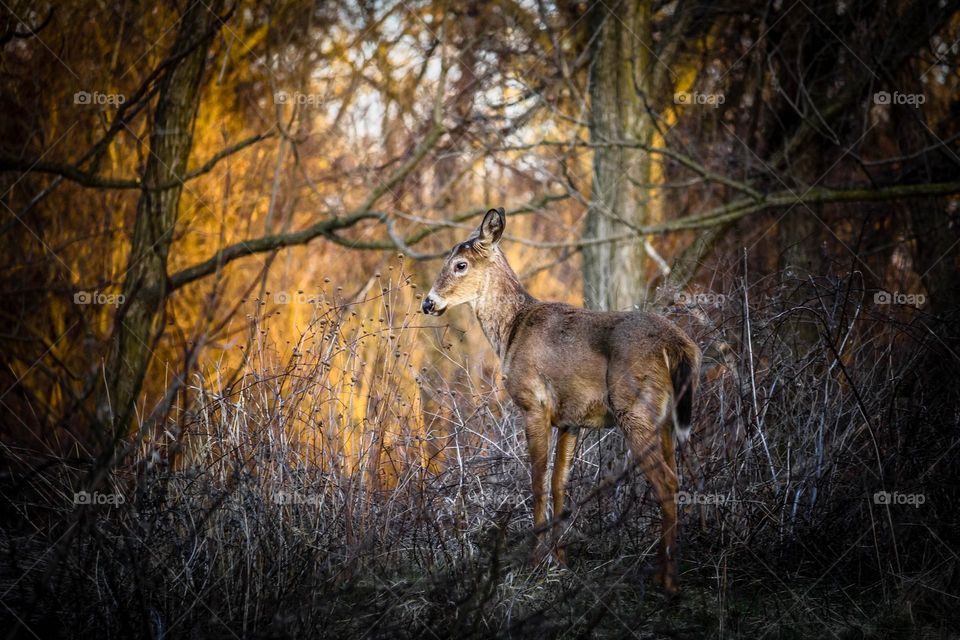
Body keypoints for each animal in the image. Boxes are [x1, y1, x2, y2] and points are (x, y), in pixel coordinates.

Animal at [424, 208, 700, 592]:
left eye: (460, 264)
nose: (428, 303)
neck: (511, 332)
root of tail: (679, 346)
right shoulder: (571, 418)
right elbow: (559, 484)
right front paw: (560, 558)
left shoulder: (533, 404)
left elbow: (538, 481)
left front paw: (535, 560)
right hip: (666, 419)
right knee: (675, 478)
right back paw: (664, 572)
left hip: (635, 408)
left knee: (667, 482)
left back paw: (668, 582)